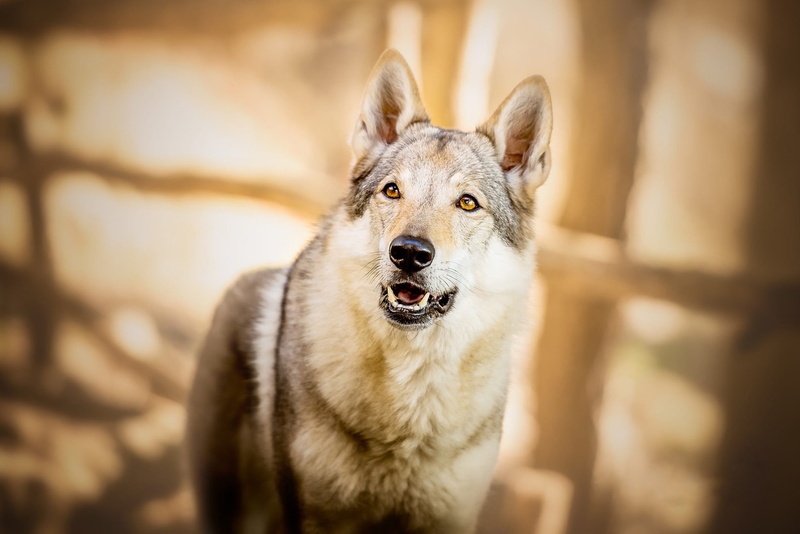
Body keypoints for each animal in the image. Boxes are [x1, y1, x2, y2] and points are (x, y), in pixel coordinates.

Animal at [186, 49, 553, 534]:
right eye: (392, 191)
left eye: (467, 203)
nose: (410, 253)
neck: (411, 398)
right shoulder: (314, 517)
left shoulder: (448, 519)